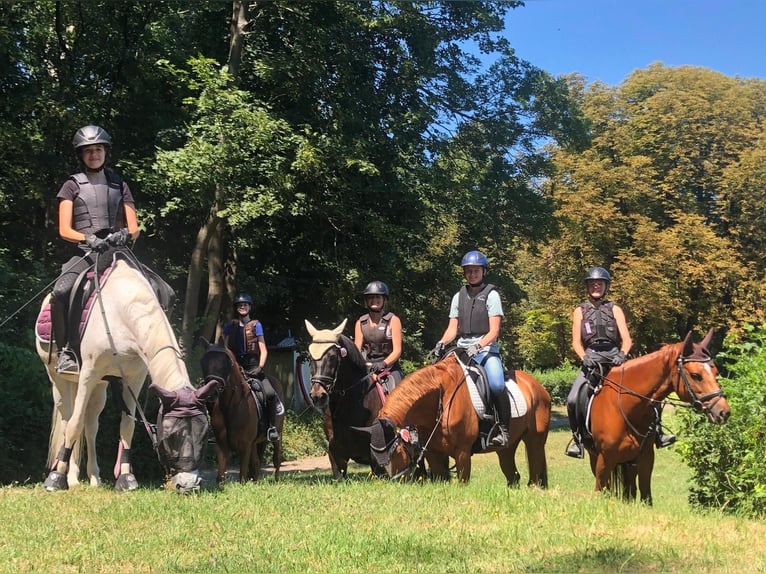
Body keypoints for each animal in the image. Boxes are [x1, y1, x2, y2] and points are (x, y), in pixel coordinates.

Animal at [35, 256, 212, 496]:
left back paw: (93, 478)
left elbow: (127, 427)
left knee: (91, 426)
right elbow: (73, 425)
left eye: (203, 435)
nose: (188, 485)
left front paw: (126, 478)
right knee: (68, 419)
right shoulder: (88, 373)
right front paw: (56, 479)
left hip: (99, 388)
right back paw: (68, 477)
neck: (122, 313)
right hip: (59, 379)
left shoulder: (134, 378)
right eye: (172, 436)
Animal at [201, 340, 284, 484]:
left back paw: (276, 480)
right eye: (203, 361)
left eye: (226, 362)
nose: (211, 392)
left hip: (277, 435)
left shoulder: (245, 446)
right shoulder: (222, 445)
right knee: (256, 463)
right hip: (258, 442)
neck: (230, 405)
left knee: (276, 459)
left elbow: (242, 475)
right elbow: (221, 476)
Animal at [356, 354, 548, 488]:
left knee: (535, 471)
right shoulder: (433, 452)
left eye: (396, 452)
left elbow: (463, 481)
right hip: (507, 449)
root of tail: (538, 386)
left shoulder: (462, 452)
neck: (441, 398)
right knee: (513, 476)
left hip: (535, 441)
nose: (398, 482)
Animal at [588, 330, 732, 506]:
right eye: (695, 375)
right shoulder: (605, 458)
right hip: (596, 457)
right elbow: (599, 491)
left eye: (716, 373)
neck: (628, 407)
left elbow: (646, 497)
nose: (724, 412)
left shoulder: (646, 458)